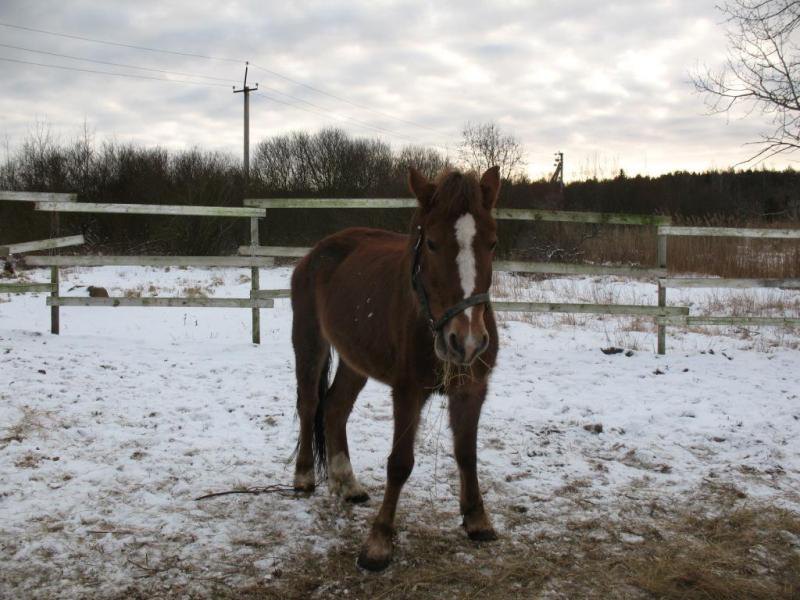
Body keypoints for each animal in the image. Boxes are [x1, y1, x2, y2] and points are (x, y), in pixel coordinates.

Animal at [288, 166, 500, 568]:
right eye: (431, 243)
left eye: (491, 243)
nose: (466, 341)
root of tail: (316, 253)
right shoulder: (408, 392)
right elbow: (400, 462)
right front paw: (379, 541)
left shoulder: (472, 389)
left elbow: (467, 453)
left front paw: (477, 519)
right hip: (309, 342)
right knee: (309, 405)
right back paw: (304, 476)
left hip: (355, 359)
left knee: (335, 407)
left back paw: (347, 483)